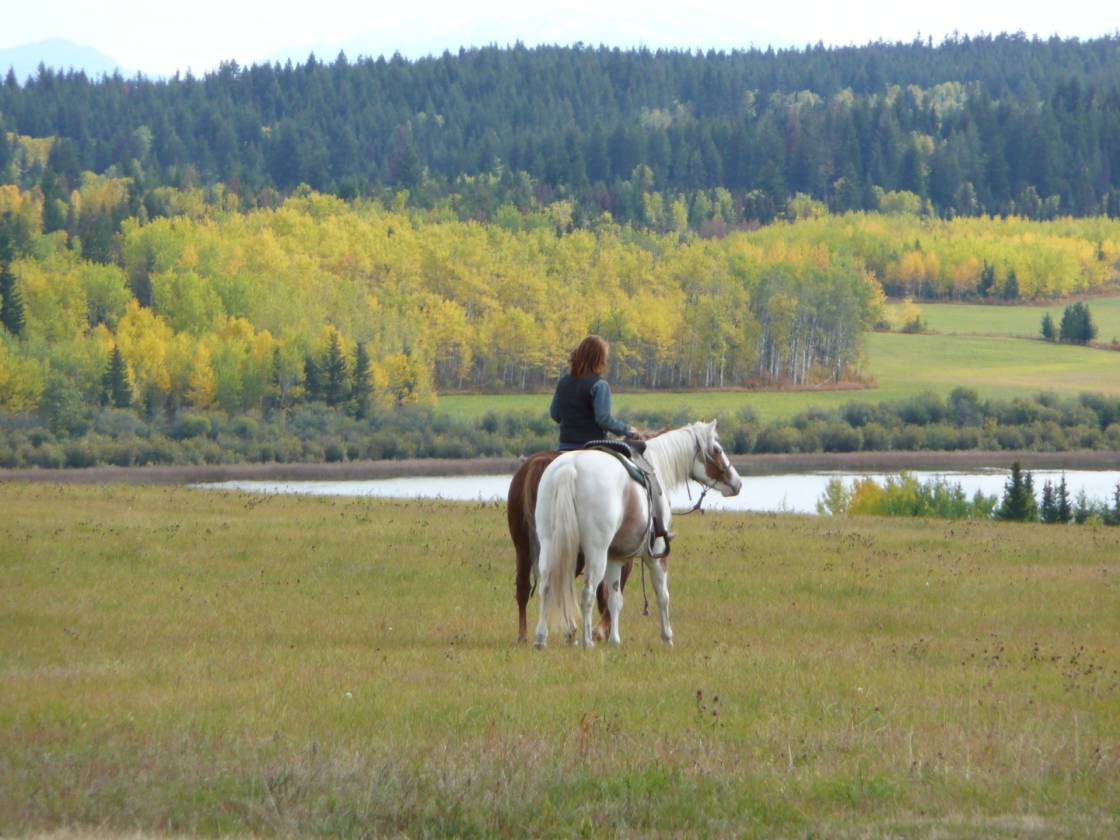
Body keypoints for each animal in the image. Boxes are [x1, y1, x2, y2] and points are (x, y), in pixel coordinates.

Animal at [534, 420, 741, 648]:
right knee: (587, 592)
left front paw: (615, 641)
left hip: (550, 545)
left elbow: (615, 600)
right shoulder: (657, 554)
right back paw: (587, 642)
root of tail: (570, 468)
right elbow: (662, 595)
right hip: (595, 552)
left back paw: (541, 638)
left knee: (546, 586)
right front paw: (667, 637)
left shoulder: (615, 557)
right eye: (717, 450)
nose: (737, 483)